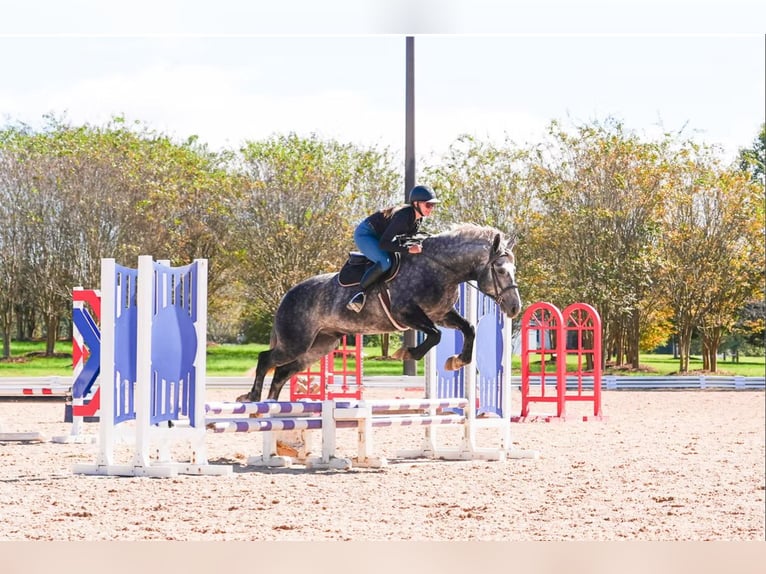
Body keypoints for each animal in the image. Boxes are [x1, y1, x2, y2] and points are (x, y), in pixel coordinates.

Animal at [238, 223, 521, 402]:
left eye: (513, 270)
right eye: (501, 270)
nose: (514, 308)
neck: (441, 268)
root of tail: (288, 295)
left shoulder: (441, 314)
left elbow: (468, 329)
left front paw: (457, 361)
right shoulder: (407, 313)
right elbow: (435, 336)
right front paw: (406, 352)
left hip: (319, 346)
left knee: (282, 372)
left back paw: (271, 405)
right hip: (296, 342)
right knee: (266, 359)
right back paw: (252, 397)